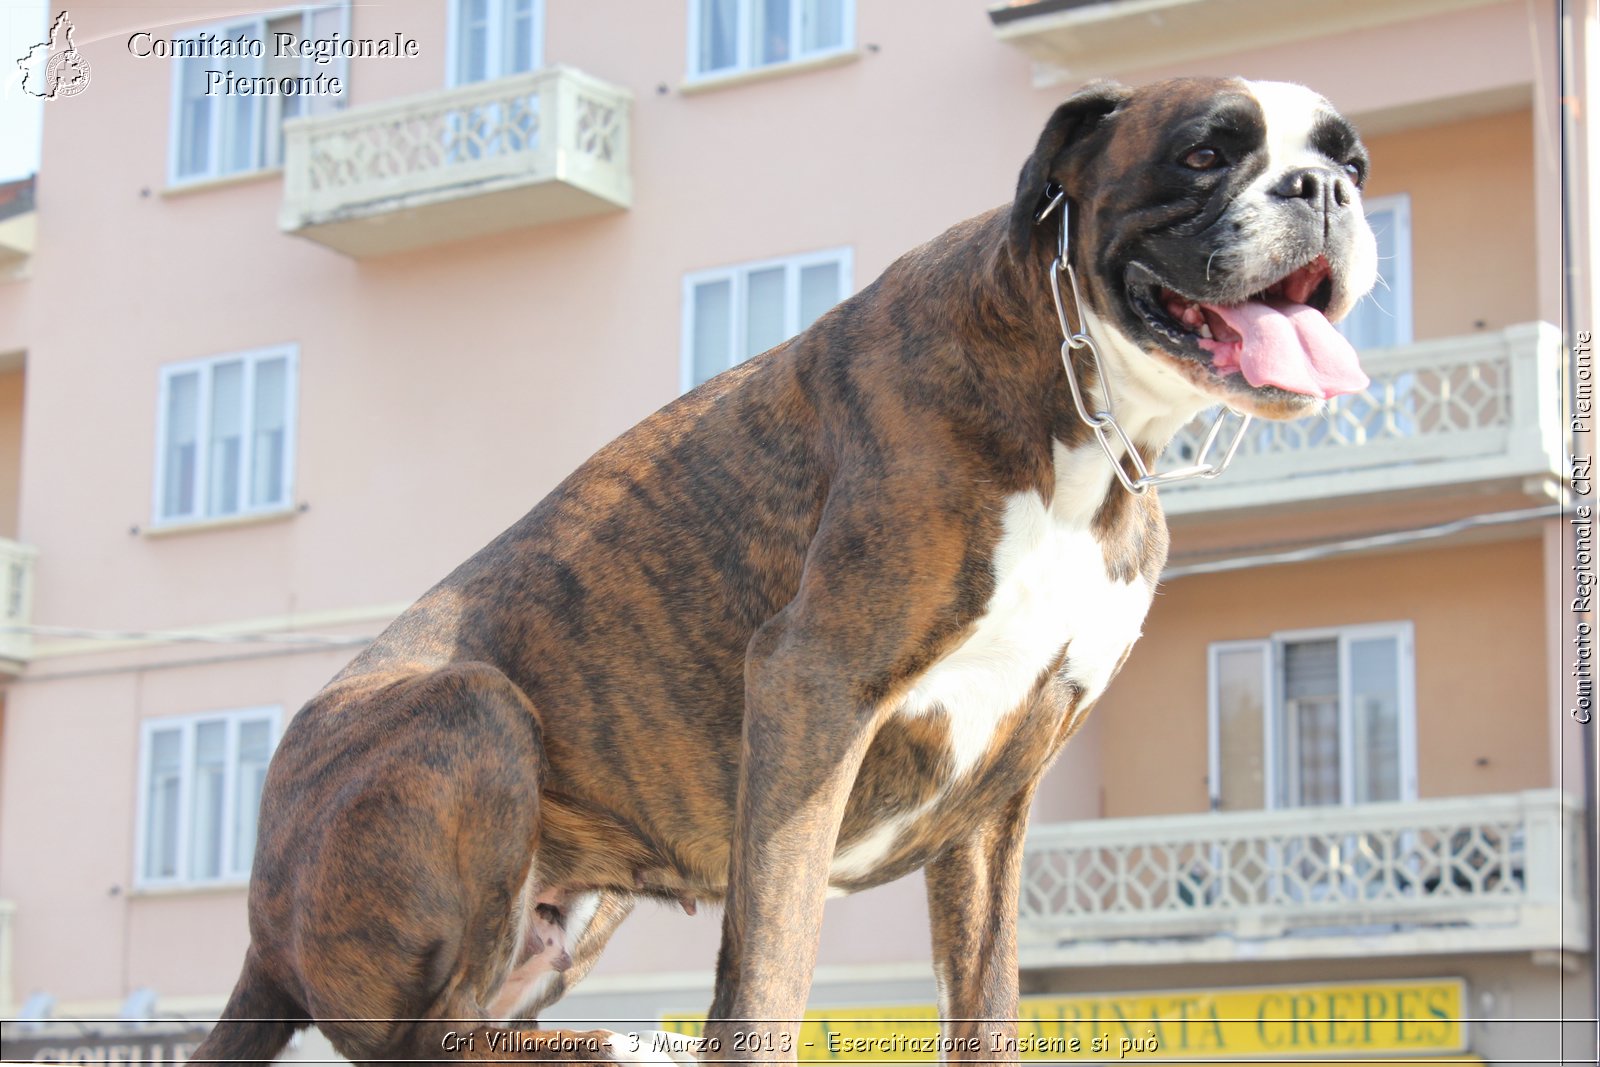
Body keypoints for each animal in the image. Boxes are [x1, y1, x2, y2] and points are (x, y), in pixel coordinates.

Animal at [193, 77, 1376, 1067]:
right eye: (1203, 152)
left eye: (1350, 163)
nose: (1321, 188)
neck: (1081, 408)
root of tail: (258, 924)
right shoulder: (814, 692)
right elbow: (770, 961)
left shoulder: (999, 792)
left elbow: (985, 995)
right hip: (469, 711)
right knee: (419, 1037)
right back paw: (620, 1043)